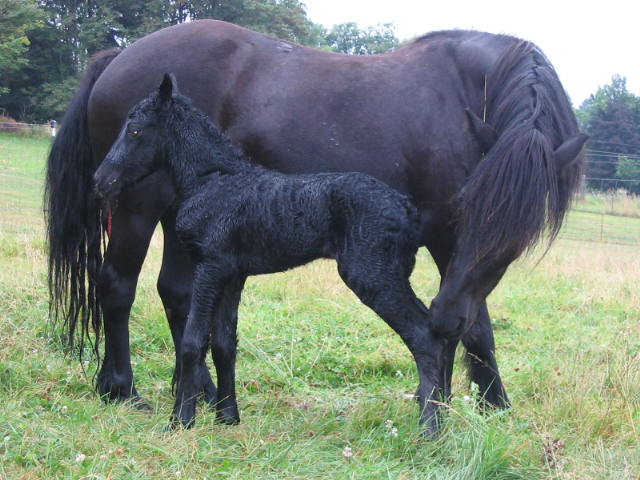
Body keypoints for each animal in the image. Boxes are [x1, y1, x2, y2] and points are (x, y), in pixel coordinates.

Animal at [95, 73, 444, 434]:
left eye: (135, 130)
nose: (101, 181)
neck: (213, 180)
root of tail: (408, 209)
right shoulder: (232, 275)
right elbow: (224, 344)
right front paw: (228, 417)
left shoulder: (209, 266)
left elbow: (194, 341)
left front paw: (180, 420)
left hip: (373, 275)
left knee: (422, 334)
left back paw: (430, 428)